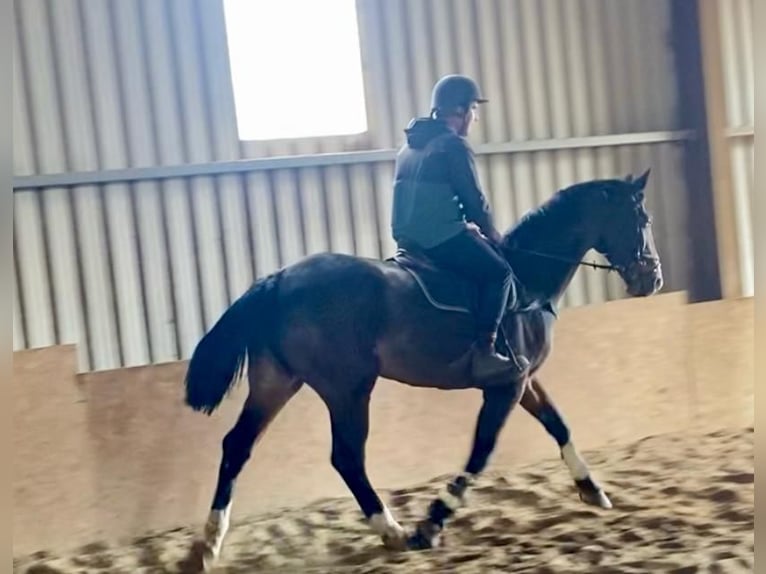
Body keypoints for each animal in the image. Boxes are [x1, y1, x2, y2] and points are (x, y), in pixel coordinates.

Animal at [184, 169, 663, 568]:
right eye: (641, 217)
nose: (653, 280)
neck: (528, 281)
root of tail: (280, 279)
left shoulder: (522, 380)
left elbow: (558, 425)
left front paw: (592, 489)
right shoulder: (505, 386)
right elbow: (481, 451)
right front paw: (432, 521)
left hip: (277, 381)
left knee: (237, 447)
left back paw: (209, 545)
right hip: (348, 389)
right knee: (347, 457)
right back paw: (392, 531)